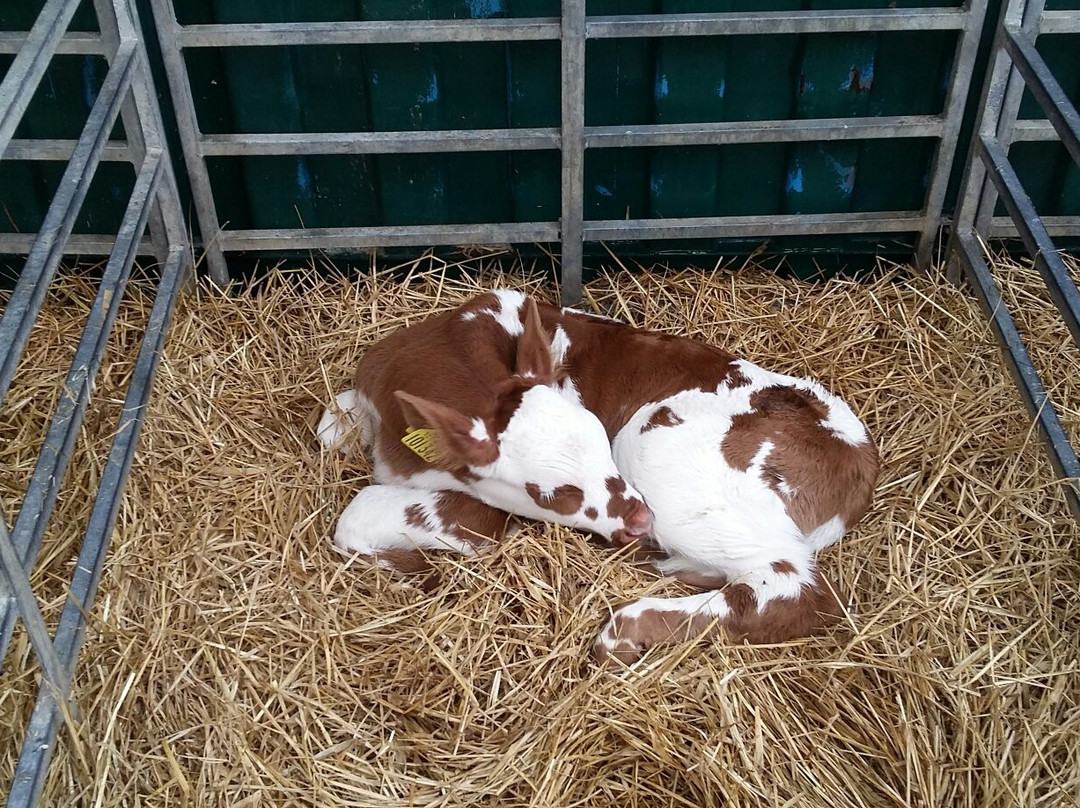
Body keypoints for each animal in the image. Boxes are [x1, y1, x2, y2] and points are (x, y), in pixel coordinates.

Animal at [319, 289, 878, 667]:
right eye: (552, 492)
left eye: (598, 439)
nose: (638, 520)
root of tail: (859, 461)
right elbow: (330, 425)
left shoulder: (483, 509)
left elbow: (356, 516)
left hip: (654, 442)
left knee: (793, 587)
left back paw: (625, 629)